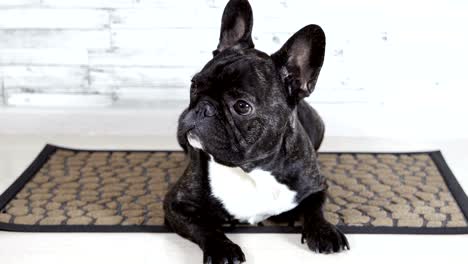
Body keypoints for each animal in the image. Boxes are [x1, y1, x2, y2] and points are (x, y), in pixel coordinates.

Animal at [164, 0, 348, 262]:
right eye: (194, 85)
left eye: (242, 106)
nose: (203, 108)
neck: (250, 170)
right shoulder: (177, 204)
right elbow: (205, 226)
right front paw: (223, 248)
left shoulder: (316, 187)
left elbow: (316, 209)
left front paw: (325, 232)